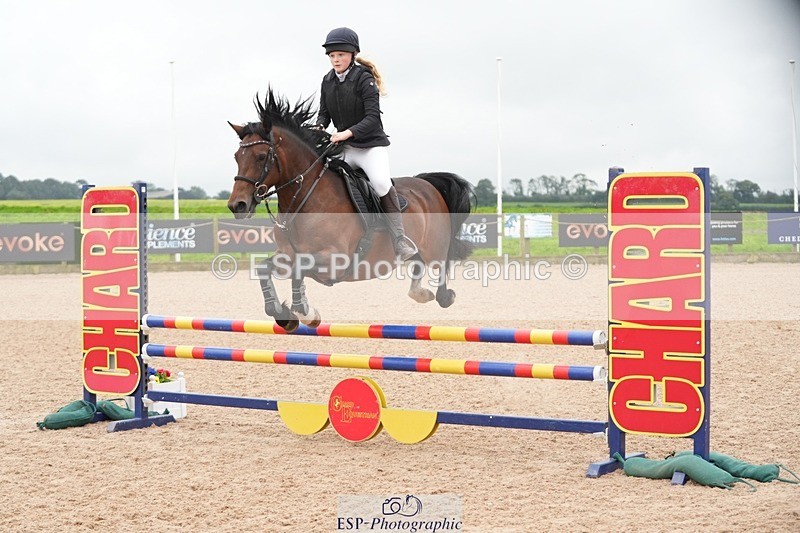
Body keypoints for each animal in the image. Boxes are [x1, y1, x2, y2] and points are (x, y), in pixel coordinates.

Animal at [227, 90, 474, 332]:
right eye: (236, 157)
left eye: (261, 157)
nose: (237, 205)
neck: (304, 200)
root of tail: (427, 184)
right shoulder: (288, 254)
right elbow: (264, 268)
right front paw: (285, 314)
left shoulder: (334, 259)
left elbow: (298, 271)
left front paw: (305, 312)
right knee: (418, 264)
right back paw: (421, 293)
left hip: (434, 246)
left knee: (441, 264)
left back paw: (442, 295)